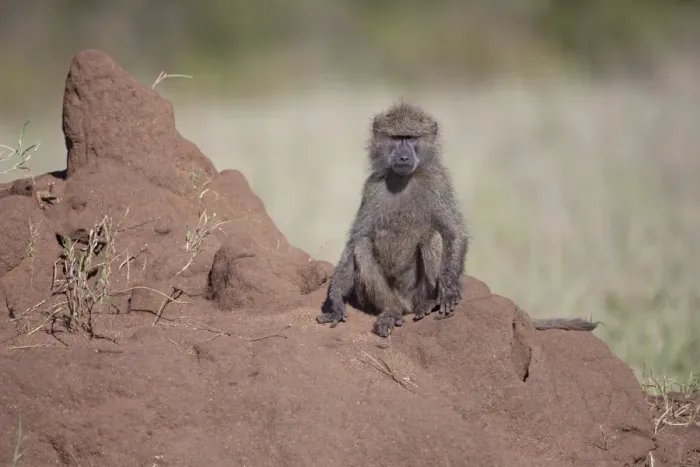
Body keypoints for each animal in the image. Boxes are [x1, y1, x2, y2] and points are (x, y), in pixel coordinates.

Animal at [316, 101, 469, 337]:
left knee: (432, 236)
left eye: (411, 138)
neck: (403, 179)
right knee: (363, 246)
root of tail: (406, 304)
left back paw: (430, 303)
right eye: (396, 138)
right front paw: (336, 302)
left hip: (417, 293)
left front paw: (449, 290)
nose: (404, 157)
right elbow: (355, 241)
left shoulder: (438, 182)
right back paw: (390, 313)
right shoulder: (372, 188)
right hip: (390, 297)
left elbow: (453, 232)